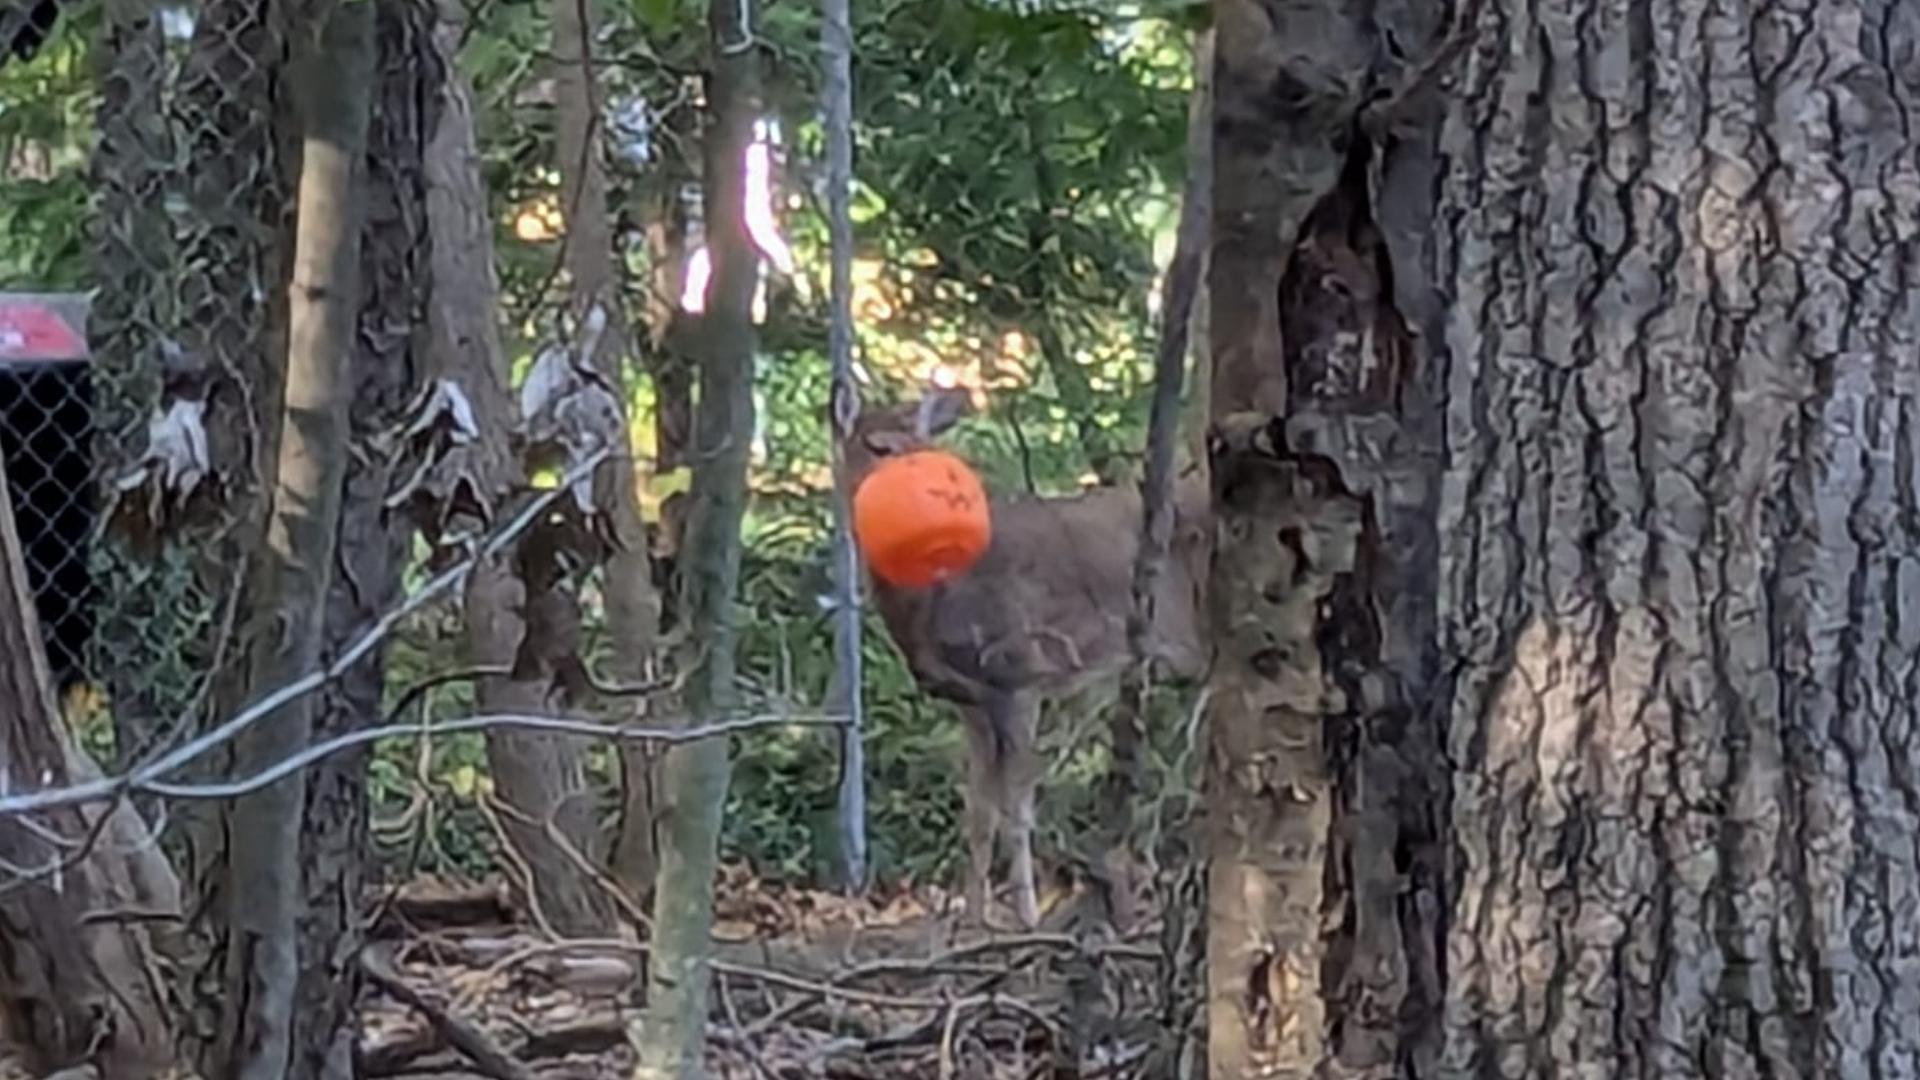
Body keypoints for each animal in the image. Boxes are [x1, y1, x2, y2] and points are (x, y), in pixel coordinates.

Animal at [844, 384, 1213, 926]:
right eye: (877, 446)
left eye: (927, 448)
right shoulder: (970, 700)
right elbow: (978, 813)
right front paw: (972, 922)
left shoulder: (1022, 672)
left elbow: (1016, 811)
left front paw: (1027, 918)